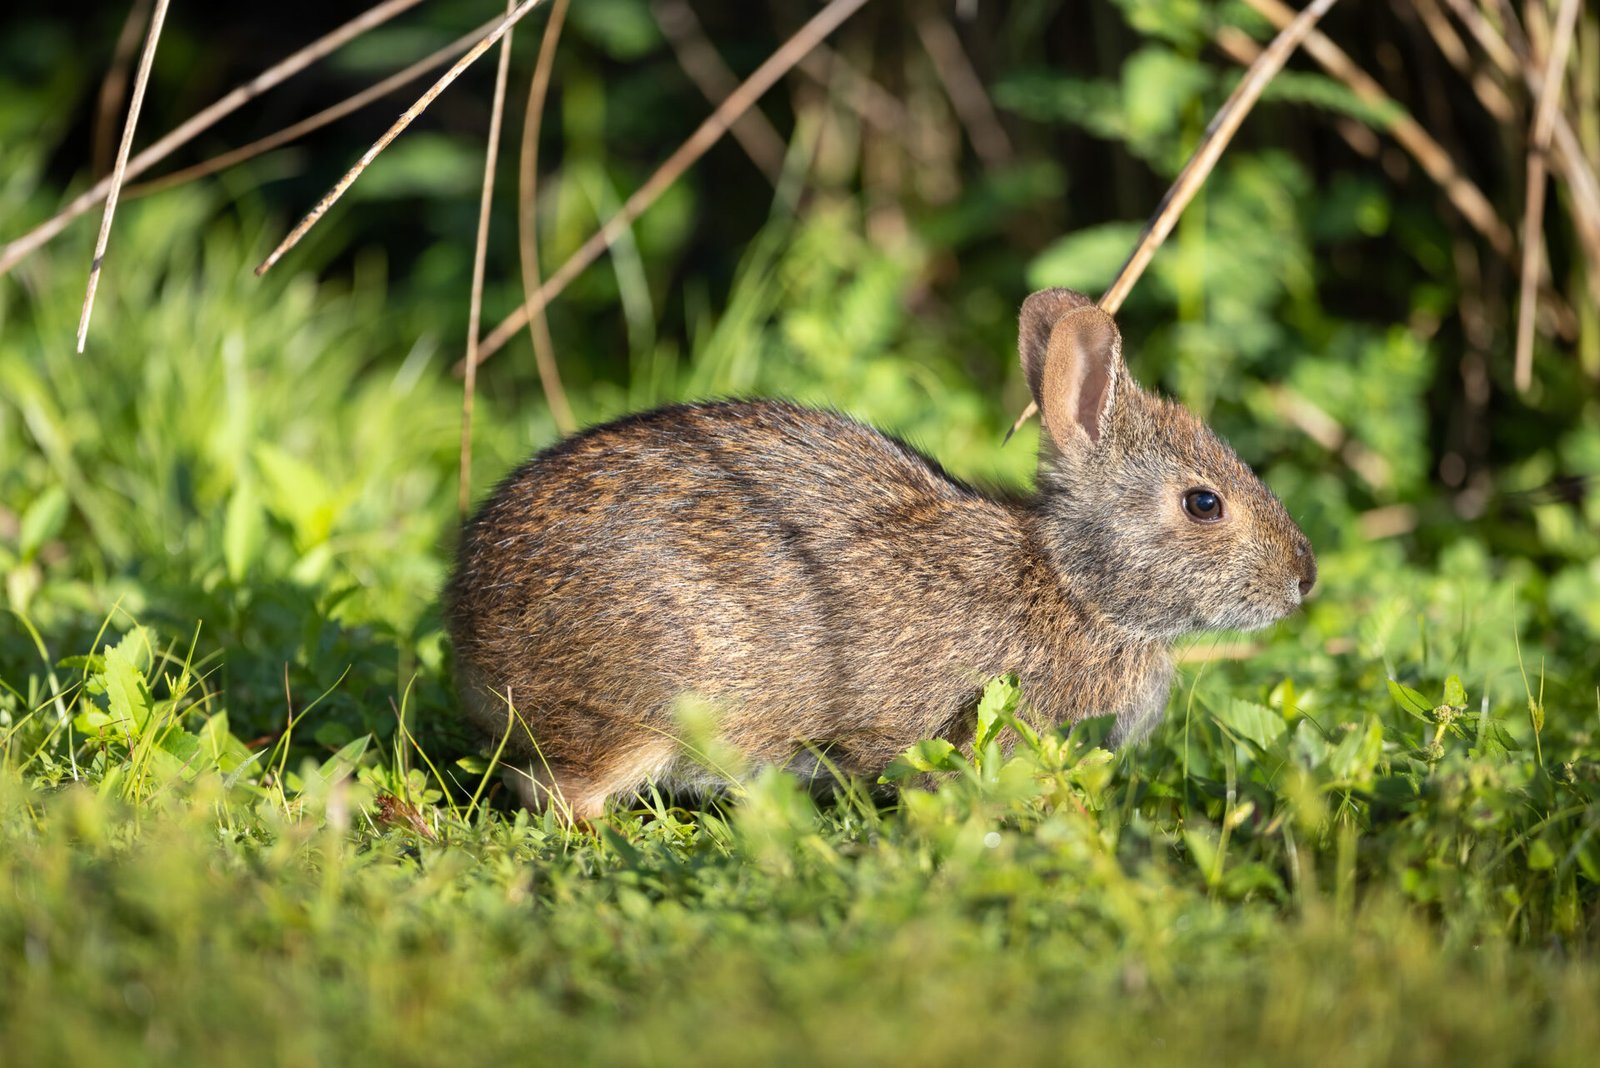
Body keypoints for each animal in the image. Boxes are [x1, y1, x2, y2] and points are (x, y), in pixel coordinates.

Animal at [445, 288, 1316, 819]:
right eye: (1204, 504)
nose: (1304, 579)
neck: (1074, 585)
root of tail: (470, 627)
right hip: (643, 705)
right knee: (561, 792)